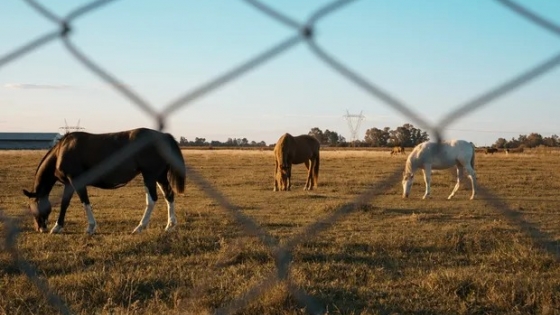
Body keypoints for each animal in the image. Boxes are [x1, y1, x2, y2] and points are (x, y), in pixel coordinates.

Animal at [22, 128, 186, 235]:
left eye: (30, 206)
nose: (40, 228)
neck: (61, 151)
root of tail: (163, 136)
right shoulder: (69, 184)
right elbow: (64, 204)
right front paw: (57, 226)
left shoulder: (76, 180)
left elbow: (85, 202)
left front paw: (90, 227)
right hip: (159, 176)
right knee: (169, 196)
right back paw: (170, 225)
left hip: (150, 176)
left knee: (152, 200)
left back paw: (140, 227)